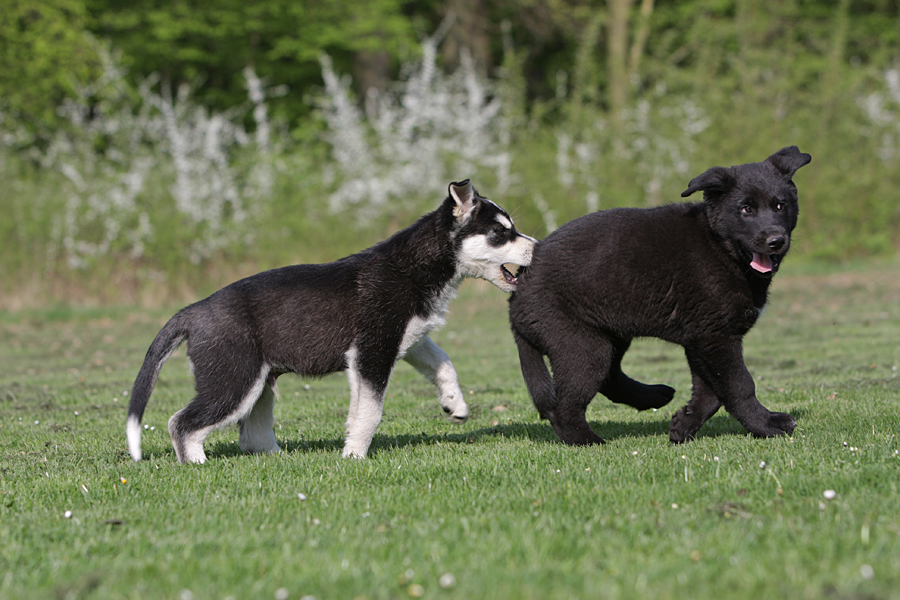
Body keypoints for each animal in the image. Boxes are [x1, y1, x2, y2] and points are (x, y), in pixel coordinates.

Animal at [126, 180, 536, 462]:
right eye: (500, 232)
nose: (539, 246)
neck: (412, 266)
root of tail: (195, 308)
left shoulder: (409, 340)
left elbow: (445, 364)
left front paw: (455, 405)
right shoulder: (372, 352)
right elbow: (369, 412)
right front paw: (354, 454)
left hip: (256, 384)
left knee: (251, 436)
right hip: (233, 382)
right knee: (181, 424)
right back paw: (196, 462)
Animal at [510, 146, 812, 446]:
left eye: (780, 206)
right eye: (746, 209)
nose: (776, 240)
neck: (720, 247)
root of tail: (518, 289)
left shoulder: (702, 339)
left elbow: (711, 392)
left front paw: (684, 424)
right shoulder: (715, 337)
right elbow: (739, 385)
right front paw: (766, 424)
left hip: (610, 334)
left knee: (610, 377)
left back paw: (653, 396)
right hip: (581, 345)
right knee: (564, 406)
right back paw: (587, 439)